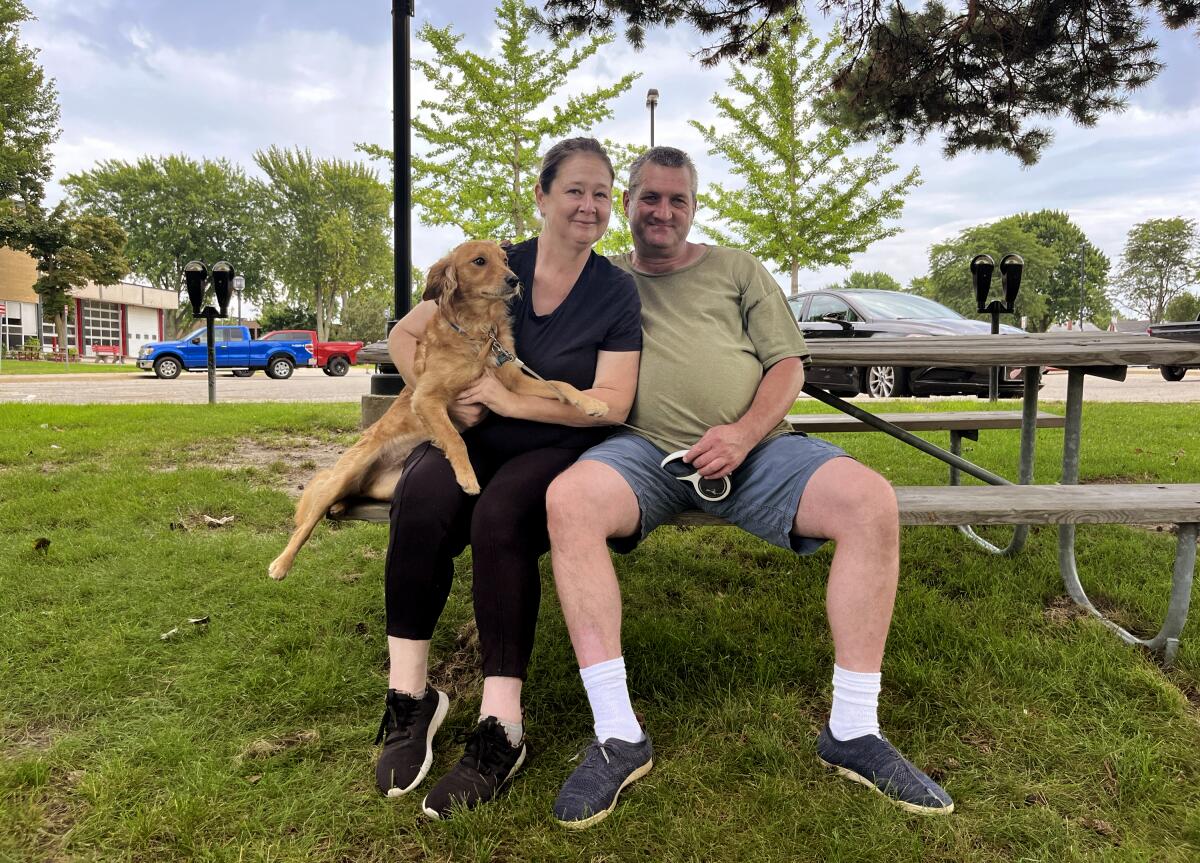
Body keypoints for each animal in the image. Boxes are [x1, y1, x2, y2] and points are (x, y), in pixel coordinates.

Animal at [271, 237, 609, 580]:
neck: (477, 331)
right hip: (343, 475)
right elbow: (455, 439)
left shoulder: (513, 381)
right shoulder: (427, 397)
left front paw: (592, 402)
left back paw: (340, 507)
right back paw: (281, 563)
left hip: (383, 488)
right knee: (307, 523)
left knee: (352, 495)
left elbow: (559, 383)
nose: (515, 280)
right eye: (479, 261)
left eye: (504, 260)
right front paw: (468, 478)